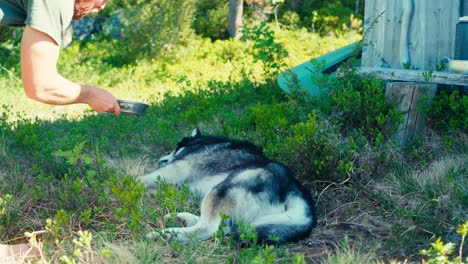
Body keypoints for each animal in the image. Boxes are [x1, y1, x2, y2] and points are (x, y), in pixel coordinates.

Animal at [137, 128, 316, 243]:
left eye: (175, 147)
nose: (160, 160)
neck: (201, 142)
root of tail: (294, 187)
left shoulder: (176, 169)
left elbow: (142, 178)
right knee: (218, 225)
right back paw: (181, 219)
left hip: (221, 189)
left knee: (209, 228)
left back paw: (164, 234)